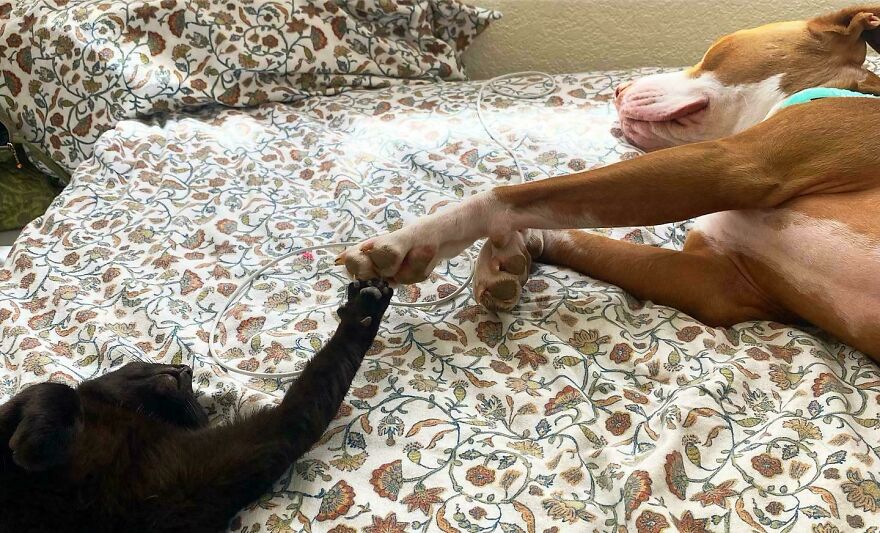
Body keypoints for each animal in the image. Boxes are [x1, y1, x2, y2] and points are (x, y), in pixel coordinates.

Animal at [0, 276, 392, 528]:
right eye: (146, 362)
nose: (184, 368)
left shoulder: (248, 449)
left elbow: (318, 387)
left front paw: (367, 307)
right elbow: (56, 388)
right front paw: (35, 444)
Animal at [336, 6, 880, 358]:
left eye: (713, 51)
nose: (617, 88)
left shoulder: (733, 163)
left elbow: (514, 192)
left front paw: (409, 242)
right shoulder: (718, 284)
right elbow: (579, 234)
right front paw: (509, 258)